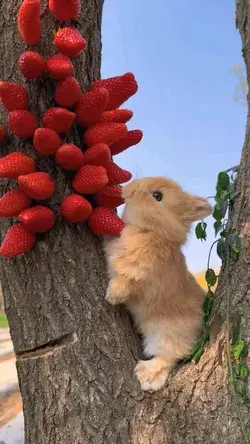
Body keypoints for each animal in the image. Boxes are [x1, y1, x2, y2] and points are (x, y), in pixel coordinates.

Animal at [104, 177, 212, 392]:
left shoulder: (139, 270)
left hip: (168, 334)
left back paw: (148, 375)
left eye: (157, 196)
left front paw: (112, 296)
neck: (151, 230)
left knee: (171, 356)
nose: (132, 187)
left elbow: (126, 280)